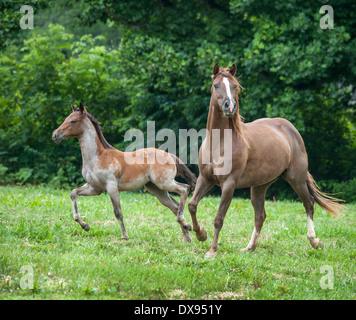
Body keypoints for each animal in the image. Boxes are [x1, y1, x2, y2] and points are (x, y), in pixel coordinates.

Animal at [52, 104, 196, 241]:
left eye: (73, 121)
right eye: (66, 119)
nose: (55, 135)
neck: (96, 157)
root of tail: (170, 155)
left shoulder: (111, 186)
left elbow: (118, 212)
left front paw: (124, 236)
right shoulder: (95, 188)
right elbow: (73, 193)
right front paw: (85, 226)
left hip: (164, 183)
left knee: (184, 189)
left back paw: (185, 224)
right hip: (156, 189)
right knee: (175, 206)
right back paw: (187, 235)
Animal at [188, 63, 344, 258]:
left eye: (234, 86)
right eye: (216, 85)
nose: (229, 106)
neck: (220, 142)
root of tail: (290, 129)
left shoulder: (229, 184)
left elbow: (219, 218)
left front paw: (212, 251)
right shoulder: (205, 179)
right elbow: (192, 205)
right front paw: (201, 234)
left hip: (296, 179)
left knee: (309, 204)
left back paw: (315, 241)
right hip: (260, 186)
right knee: (260, 215)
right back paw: (249, 247)